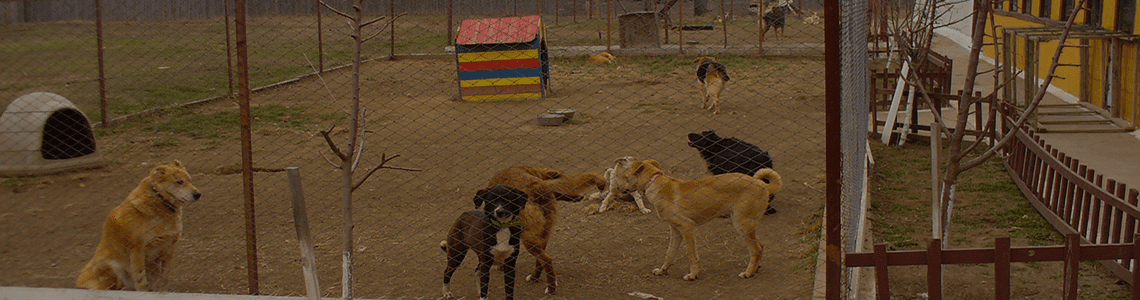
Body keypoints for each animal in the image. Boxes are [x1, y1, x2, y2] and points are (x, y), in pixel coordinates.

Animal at [78, 161, 205, 292]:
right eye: (179, 182)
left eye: (190, 180)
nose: (198, 194)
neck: (160, 201)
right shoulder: (137, 251)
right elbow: (141, 281)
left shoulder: (170, 247)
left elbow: (164, 278)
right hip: (111, 266)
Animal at [490, 166, 615, 296]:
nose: (580, 196)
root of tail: (537, 187)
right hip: (544, 235)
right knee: (541, 260)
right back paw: (535, 277)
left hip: (528, 239)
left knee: (547, 260)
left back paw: (550, 288)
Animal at [615, 159, 784, 282]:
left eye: (625, 176)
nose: (618, 190)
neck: (655, 183)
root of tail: (761, 184)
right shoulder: (675, 230)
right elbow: (669, 254)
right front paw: (663, 270)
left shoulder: (687, 226)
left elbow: (691, 254)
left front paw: (692, 275)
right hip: (745, 225)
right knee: (760, 247)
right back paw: (754, 270)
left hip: (741, 224)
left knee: (756, 249)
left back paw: (748, 273)